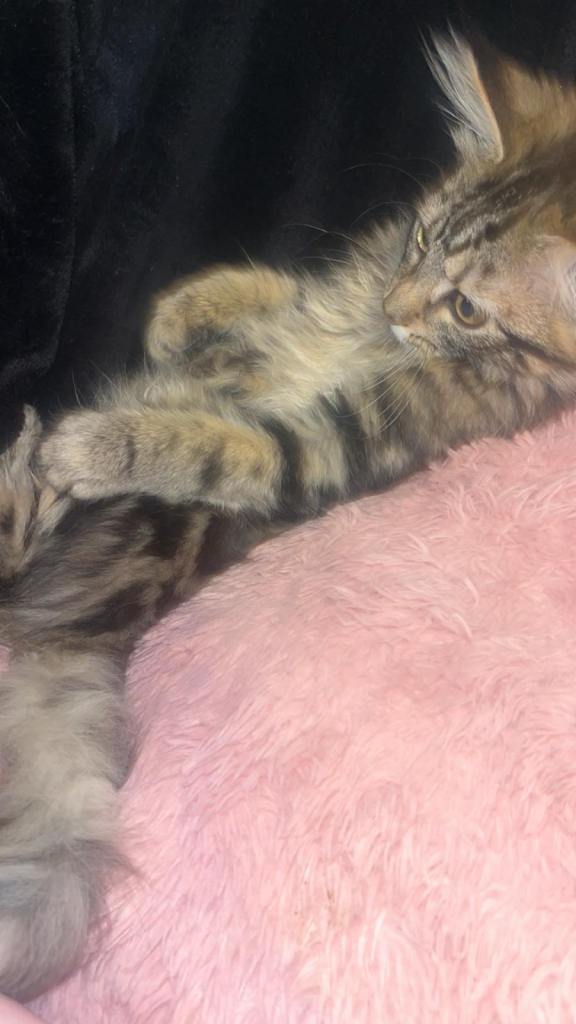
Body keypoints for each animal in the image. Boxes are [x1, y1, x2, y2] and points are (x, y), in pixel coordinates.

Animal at [2, 30, 576, 1000]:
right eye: (420, 238)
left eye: (467, 307)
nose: (394, 310)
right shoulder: (341, 290)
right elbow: (273, 290)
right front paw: (178, 315)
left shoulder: (335, 445)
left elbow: (212, 440)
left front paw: (101, 441)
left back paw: (31, 476)